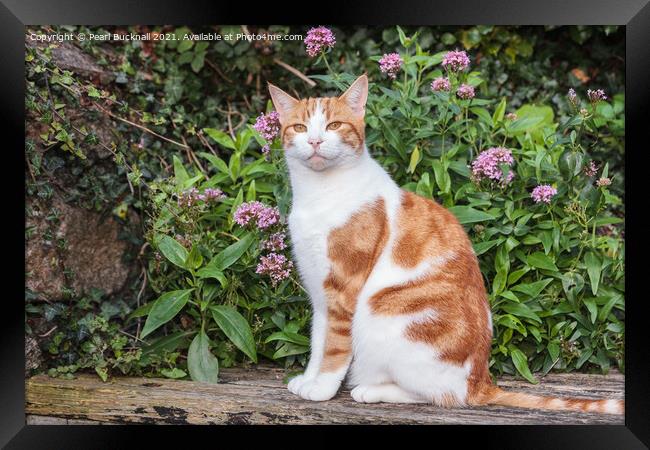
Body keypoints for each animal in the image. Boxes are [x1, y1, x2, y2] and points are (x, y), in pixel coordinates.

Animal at [266, 74, 620, 414]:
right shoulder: (319, 293)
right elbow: (318, 343)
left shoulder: (342, 289)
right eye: (300, 128)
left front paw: (322, 389)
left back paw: (370, 390)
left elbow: (334, 348)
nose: (314, 140)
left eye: (334, 126)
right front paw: (308, 379)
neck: (319, 194)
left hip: (384, 317)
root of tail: (480, 380)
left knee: (441, 395)